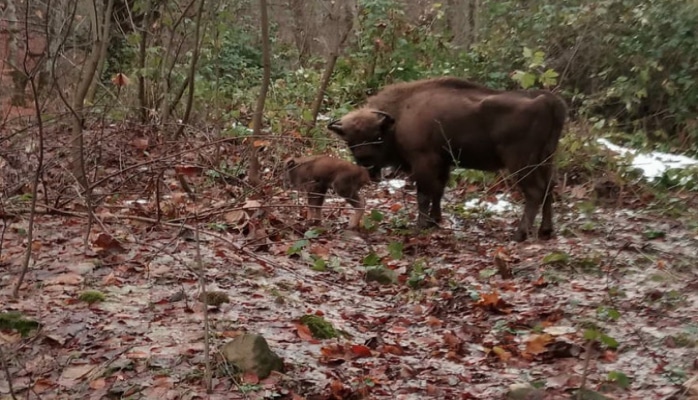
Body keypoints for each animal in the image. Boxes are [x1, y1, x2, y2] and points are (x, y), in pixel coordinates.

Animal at [326, 77, 564, 242]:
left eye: (377, 136)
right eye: (350, 141)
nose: (364, 160)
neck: (399, 116)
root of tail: (548, 101)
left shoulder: (423, 161)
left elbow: (424, 194)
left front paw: (421, 225)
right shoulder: (443, 163)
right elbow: (438, 191)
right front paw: (434, 221)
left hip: (521, 163)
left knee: (535, 192)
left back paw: (520, 234)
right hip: (546, 159)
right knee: (549, 188)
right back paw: (545, 231)